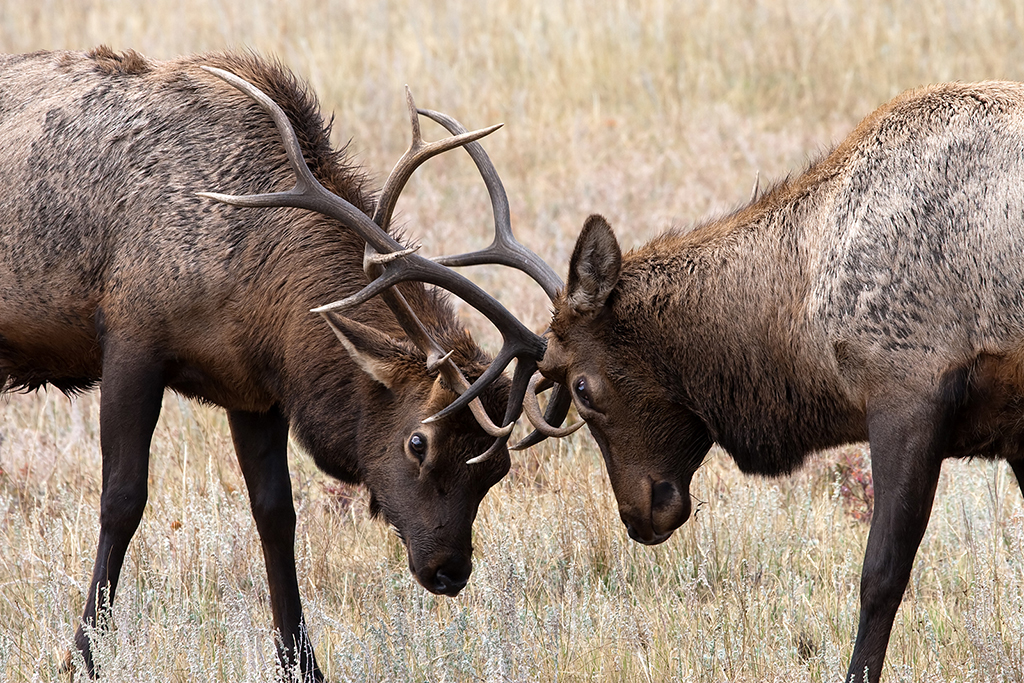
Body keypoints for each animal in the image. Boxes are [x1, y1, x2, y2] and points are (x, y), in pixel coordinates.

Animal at [0, 45, 561, 679]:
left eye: (497, 467)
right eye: (419, 442)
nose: (449, 570)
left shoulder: (251, 388)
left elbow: (276, 513)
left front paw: (302, 661)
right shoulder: (131, 337)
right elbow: (122, 500)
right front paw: (80, 658)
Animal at [528, 81, 1024, 683]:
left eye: (581, 387)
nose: (638, 514)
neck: (804, 312)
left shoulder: (907, 396)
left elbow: (881, 576)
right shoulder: (1015, 431)